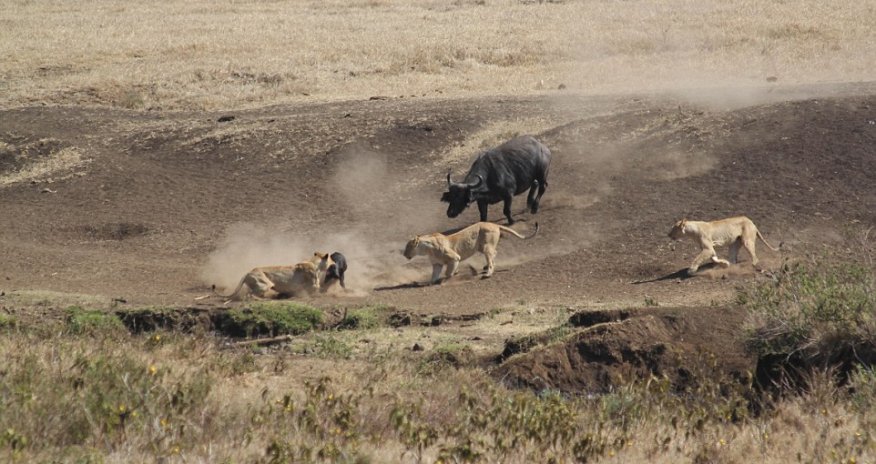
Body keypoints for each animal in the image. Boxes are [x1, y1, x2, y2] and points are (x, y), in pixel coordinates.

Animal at [403, 222, 538, 284]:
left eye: (408, 247)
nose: (404, 254)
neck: (427, 249)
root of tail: (494, 224)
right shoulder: (437, 264)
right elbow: (434, 275)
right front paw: (429, 282)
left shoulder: (454, 257)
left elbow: (448, 272)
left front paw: (447, 279)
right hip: (482, 247)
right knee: (494, 254)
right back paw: (485, 268)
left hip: (486, 246)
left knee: (492, 260)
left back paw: (487, 273)